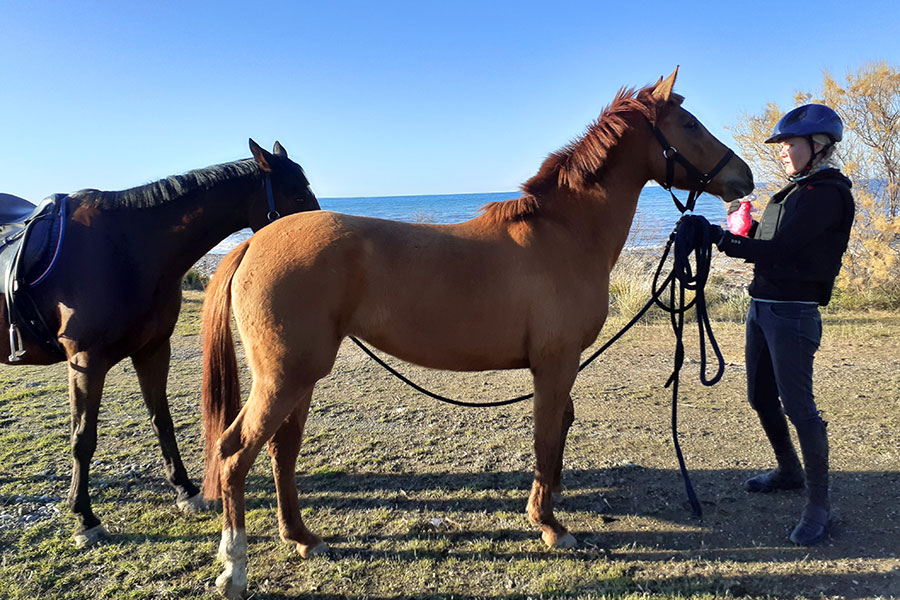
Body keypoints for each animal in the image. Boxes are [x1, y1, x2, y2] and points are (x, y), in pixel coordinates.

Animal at [0, 139, 320, 548]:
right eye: (296, 194)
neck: (127, 249)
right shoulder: (85, 359)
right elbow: (83, 439)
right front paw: (85, 518)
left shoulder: (153, 350)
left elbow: (161, 421)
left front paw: (186, 490)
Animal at [201, 69, 754, 599]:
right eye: (689, 126)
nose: (743, 177)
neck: (565, 234)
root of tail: (254, 244)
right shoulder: (556, 363)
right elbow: (546, 435)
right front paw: (550, 525)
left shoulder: (561, 364)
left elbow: (561, 428)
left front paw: (552, 499)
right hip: (285, 378)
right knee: (234, 454)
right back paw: (234, 568)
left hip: (301, 378)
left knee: (281, 451)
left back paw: (301, 538)